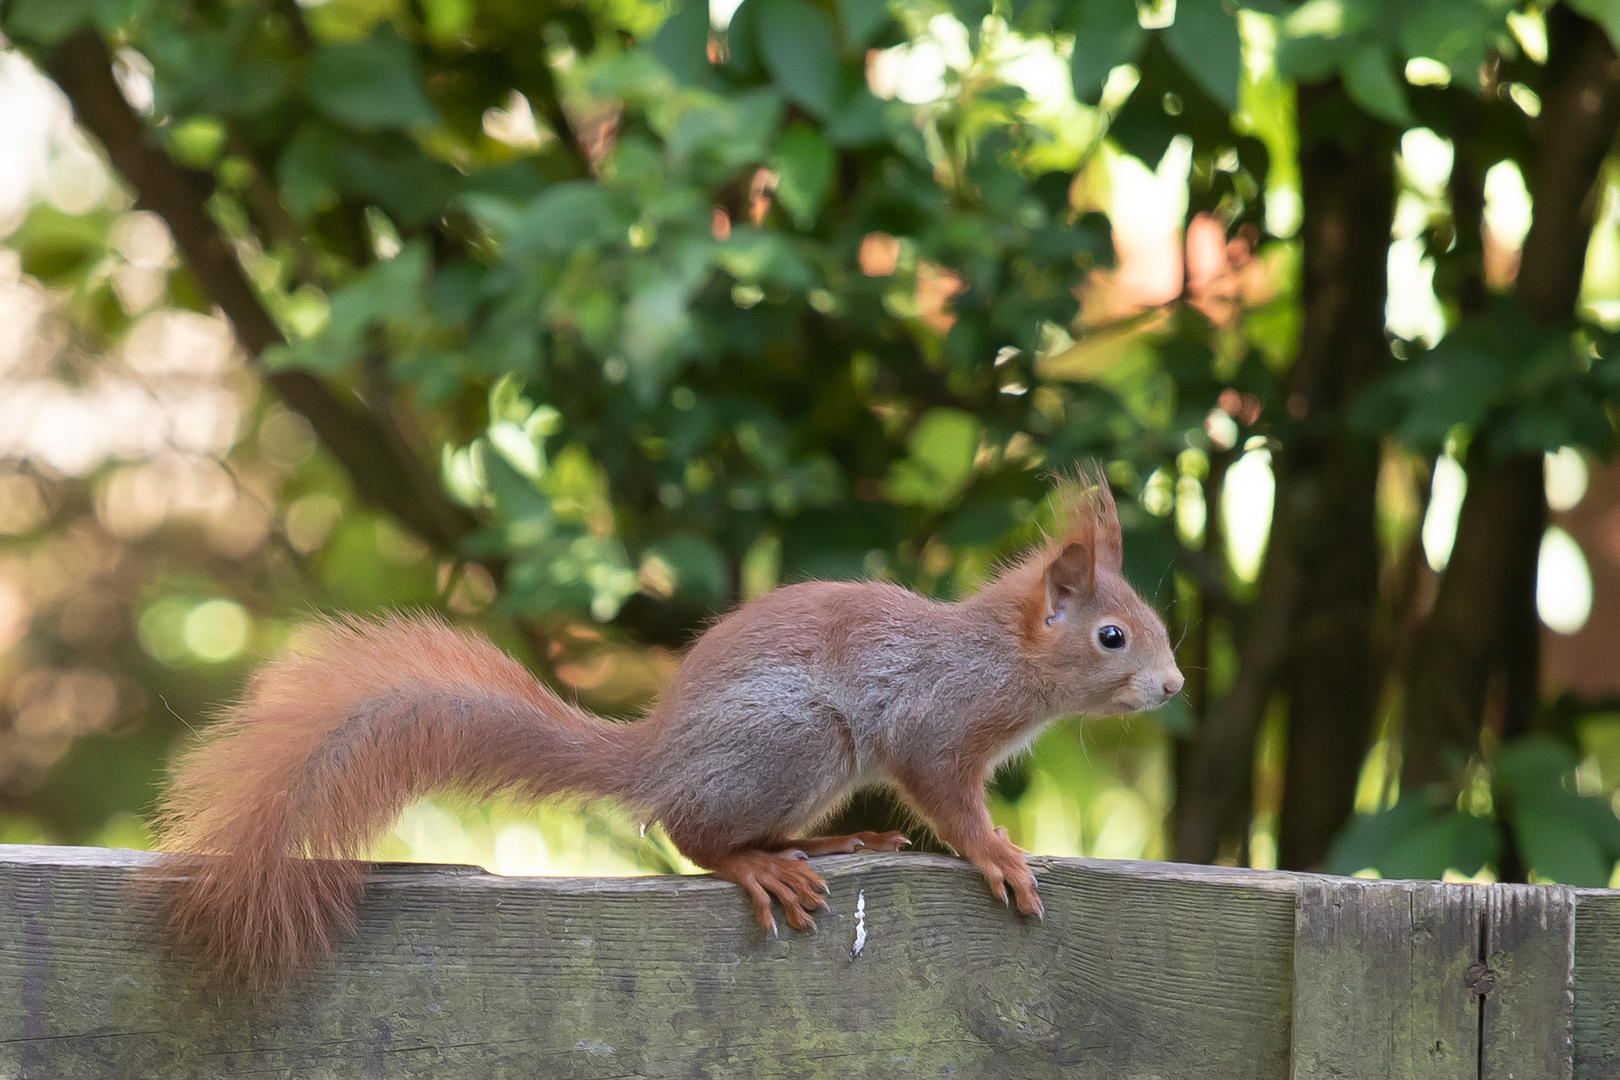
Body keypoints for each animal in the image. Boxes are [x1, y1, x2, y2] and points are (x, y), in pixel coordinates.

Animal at [152, 472, 1179, 977]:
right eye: (1112, 635)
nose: (1172, 686)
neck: (1003, 658)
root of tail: (656, 757)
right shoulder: (937, 722)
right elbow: (950, 801)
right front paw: (999, 855)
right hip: (795, 739)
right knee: (692, 835)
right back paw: (760, 864)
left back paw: (829, 843)